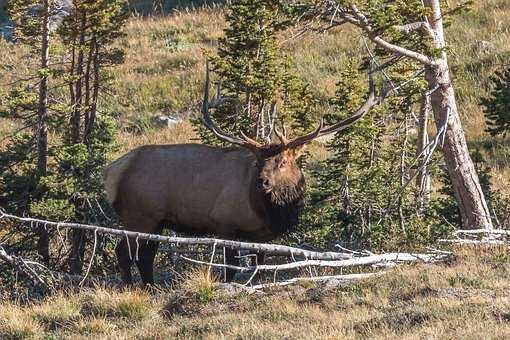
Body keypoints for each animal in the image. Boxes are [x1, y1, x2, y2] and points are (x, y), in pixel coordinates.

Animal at [101, 66, 384, 284]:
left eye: (282, 161)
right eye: (258, 161)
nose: (262, 182)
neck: (270, 211)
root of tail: (113, 171)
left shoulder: (262, 236)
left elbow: (259, 266)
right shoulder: (225, 223)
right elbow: (230, 267)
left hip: (155, 222)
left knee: (144, 256)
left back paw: (150, 288)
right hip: (139, 215)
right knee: (124, 252)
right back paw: (130, 288)